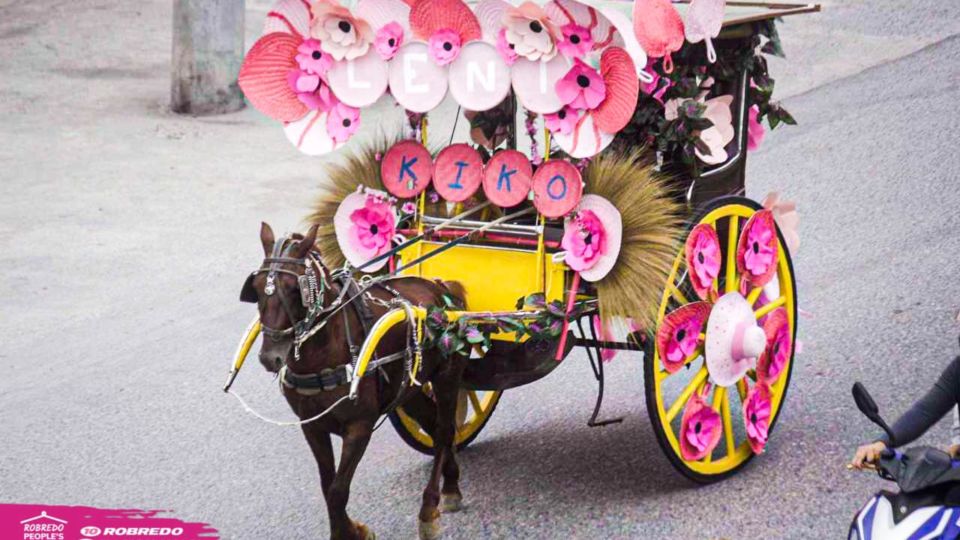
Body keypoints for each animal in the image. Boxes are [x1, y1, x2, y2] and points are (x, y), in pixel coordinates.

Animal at [244, 221, 468, 536]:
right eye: (255, 287)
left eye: (293, 288)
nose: (269, 356)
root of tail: (441, 288)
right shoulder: (312, 426)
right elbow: (328, 486)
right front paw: (351, 529)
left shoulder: (359, 426)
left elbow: (338, 490)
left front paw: (347, 532)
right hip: (408, 390)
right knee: (434, 425)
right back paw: (451, 483)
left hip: (447, 376)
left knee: (445, 432)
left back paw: (431, 506)